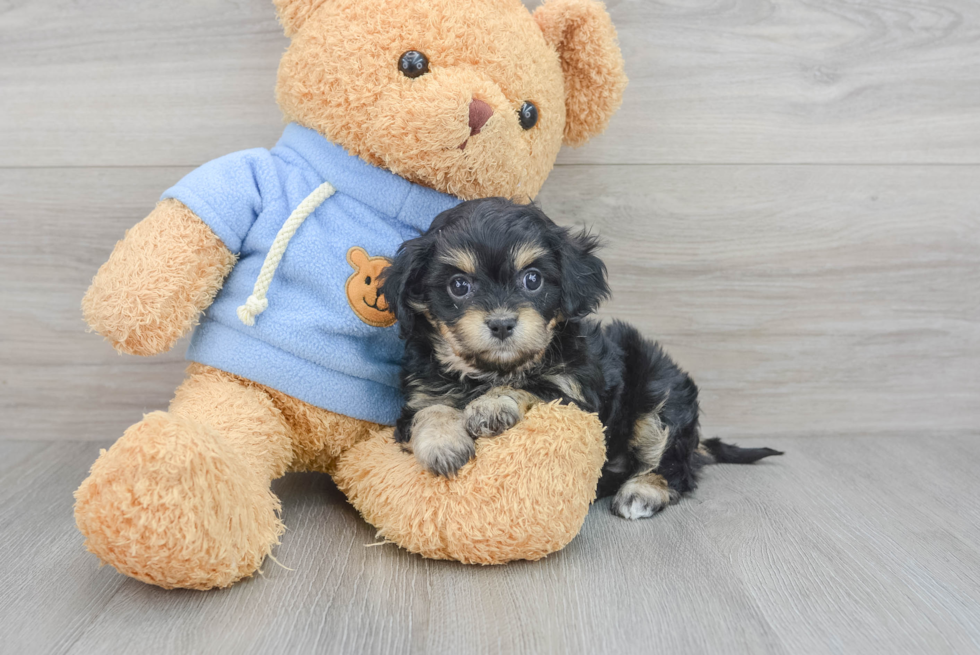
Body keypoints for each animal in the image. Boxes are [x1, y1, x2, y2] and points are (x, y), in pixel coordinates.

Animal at [378, 197, 780, 520]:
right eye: (459, 286)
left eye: (533, 280)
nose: (502, 323)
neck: (493, 370)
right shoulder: (420, 395)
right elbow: (430, 410)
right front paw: (444, 445)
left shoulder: (575, 397)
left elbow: (531, 388)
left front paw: (491, 406)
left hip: (660, 393)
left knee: (675, 462)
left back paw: (642, 491)